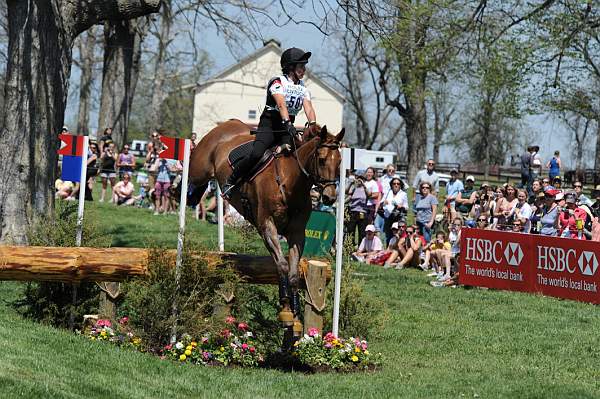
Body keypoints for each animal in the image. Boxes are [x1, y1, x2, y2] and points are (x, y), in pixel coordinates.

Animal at [190, 120, 344, 340]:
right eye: (322, 160)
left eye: (339, 162)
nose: (330, 198)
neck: (290, 183)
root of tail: (228, 123)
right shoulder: (267, 227)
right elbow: (282, 266)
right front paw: (286, 311)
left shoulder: (297, 235)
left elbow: (294, 273)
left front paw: (296, 318)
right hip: (199, 170)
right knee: (191, 180)